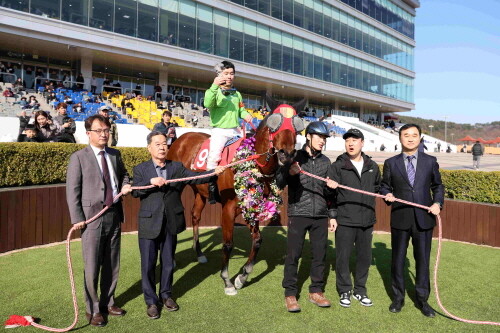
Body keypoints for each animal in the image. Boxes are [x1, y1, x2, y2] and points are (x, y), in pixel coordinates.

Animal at [167, 96, 304, 294]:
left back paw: (199, 253)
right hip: (175, 185)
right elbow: (228, 244)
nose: (287, 155)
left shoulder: (251, 206)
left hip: (199, 191)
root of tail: (182, 137)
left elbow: (258, 240)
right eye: (274, 125)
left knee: (195, 215)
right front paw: (227, 281)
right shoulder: (228, 208)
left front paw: (242, 276)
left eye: (297, 127)